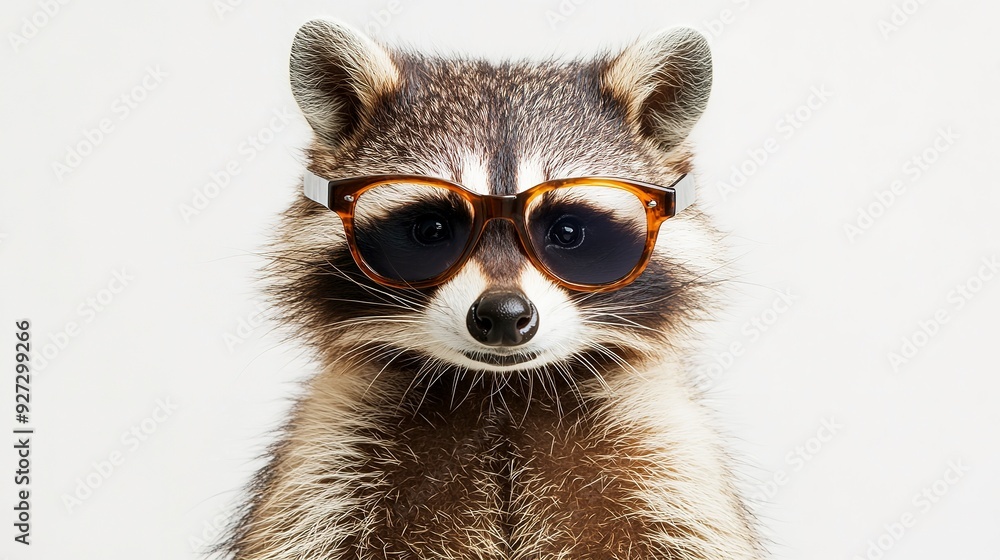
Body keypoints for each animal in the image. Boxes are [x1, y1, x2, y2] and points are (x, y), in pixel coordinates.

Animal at [223, 18, 763, 560]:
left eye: (568, 232)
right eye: (432, 230)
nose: (503, 314)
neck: (498, 394)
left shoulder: (666, 459)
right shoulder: (330, 456)